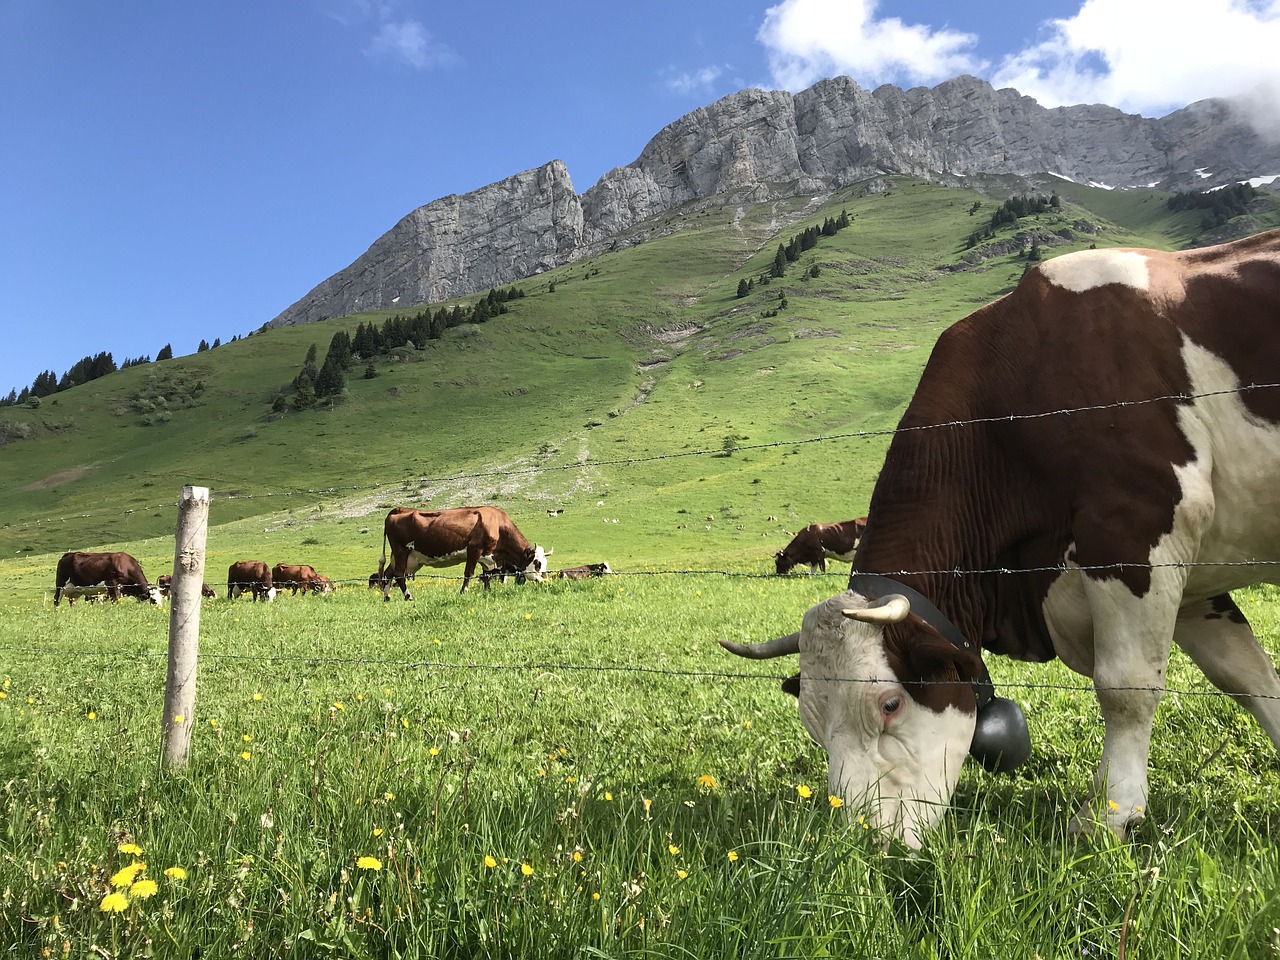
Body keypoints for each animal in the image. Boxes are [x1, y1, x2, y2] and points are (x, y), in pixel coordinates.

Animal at [373, 506, 547, 599]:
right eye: (537, 563)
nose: (545, 580)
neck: (497, 525)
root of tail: (399, 510)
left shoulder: (488, 557)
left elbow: (486, 576)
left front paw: (487, 591)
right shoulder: (474, 549)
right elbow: (468, 573)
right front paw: (464, 592)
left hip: (409, 557)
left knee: (388, 573)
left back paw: (387, 598)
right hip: (401, 550)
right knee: (398, 574)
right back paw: (409, 597)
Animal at [727, 231, 1280, 849]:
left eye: (889, 704)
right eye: (813, 722)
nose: (866, 842)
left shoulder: (1137, 525)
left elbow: (1126, 688)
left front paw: (1108, 816)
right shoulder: (1191, 586)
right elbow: (1249, 677)